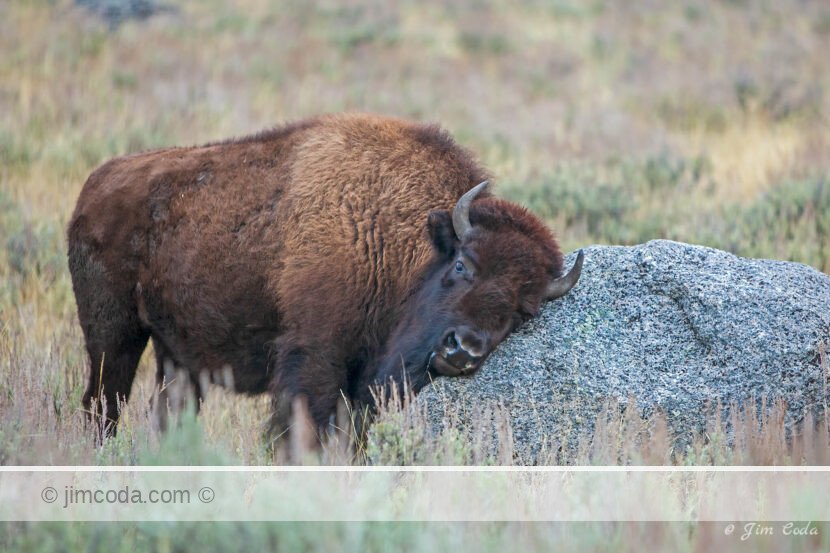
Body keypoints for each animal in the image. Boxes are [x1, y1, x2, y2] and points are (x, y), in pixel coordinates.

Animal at [67, 113, 583, 437]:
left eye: (523, 311)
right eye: (462, 265)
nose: (463, 350)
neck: (392, 235)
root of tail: (97, 183)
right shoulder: (314, 357)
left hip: (176, 357)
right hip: (113, 337)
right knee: (102, 404)